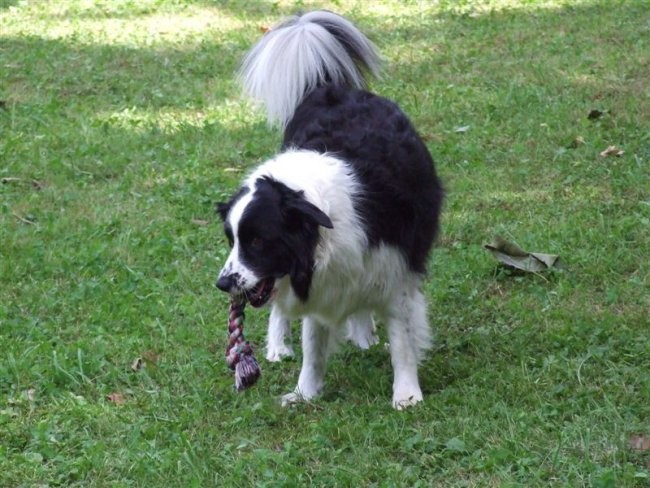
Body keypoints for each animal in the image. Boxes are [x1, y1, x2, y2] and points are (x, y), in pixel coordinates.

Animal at [216, 10, 440, 408]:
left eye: (257, 241)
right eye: (232, 240)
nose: (222, 283)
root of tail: (328, 87)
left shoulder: (394, 268)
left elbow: (402, 338)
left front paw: (407, 395)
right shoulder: (314, 281)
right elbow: (313, 342)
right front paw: (305, 392)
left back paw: (364, 336)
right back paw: (279, 346)